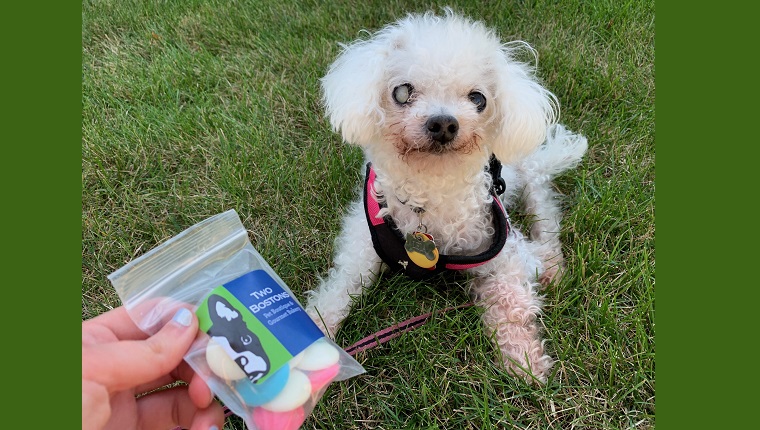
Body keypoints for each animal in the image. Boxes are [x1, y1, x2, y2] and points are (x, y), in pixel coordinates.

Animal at [302, 8, 588, 382]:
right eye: (403, 92)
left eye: (478, 99)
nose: (443, 124)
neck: (429, 192)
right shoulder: (361, 245)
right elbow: (337, 290)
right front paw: (308, 340)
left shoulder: (502, 249)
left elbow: (511, 302)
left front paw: (524, 360)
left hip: (526, 180)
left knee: (545, 216)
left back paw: (552, 265)